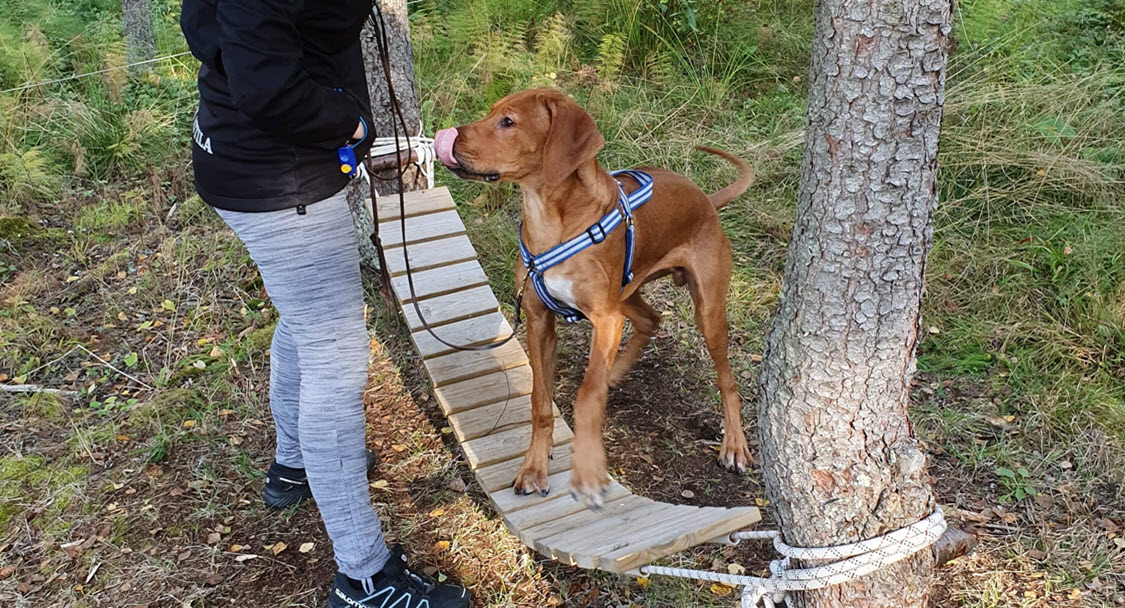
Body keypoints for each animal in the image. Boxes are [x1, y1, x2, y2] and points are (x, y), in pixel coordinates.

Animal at [432, 86, 756, 508]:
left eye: (508, 122)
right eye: (491, 113)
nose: (447, 137)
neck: (550, 219)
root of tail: (705, 198)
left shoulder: (604, 318)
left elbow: (586, 397)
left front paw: (586, 473)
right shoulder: (539, 319)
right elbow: (540, 402)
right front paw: (534, 467)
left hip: (706, 308)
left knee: (727, 379)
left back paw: (734, 445)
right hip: (626, 293)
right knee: (651, 319)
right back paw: (614, 373)